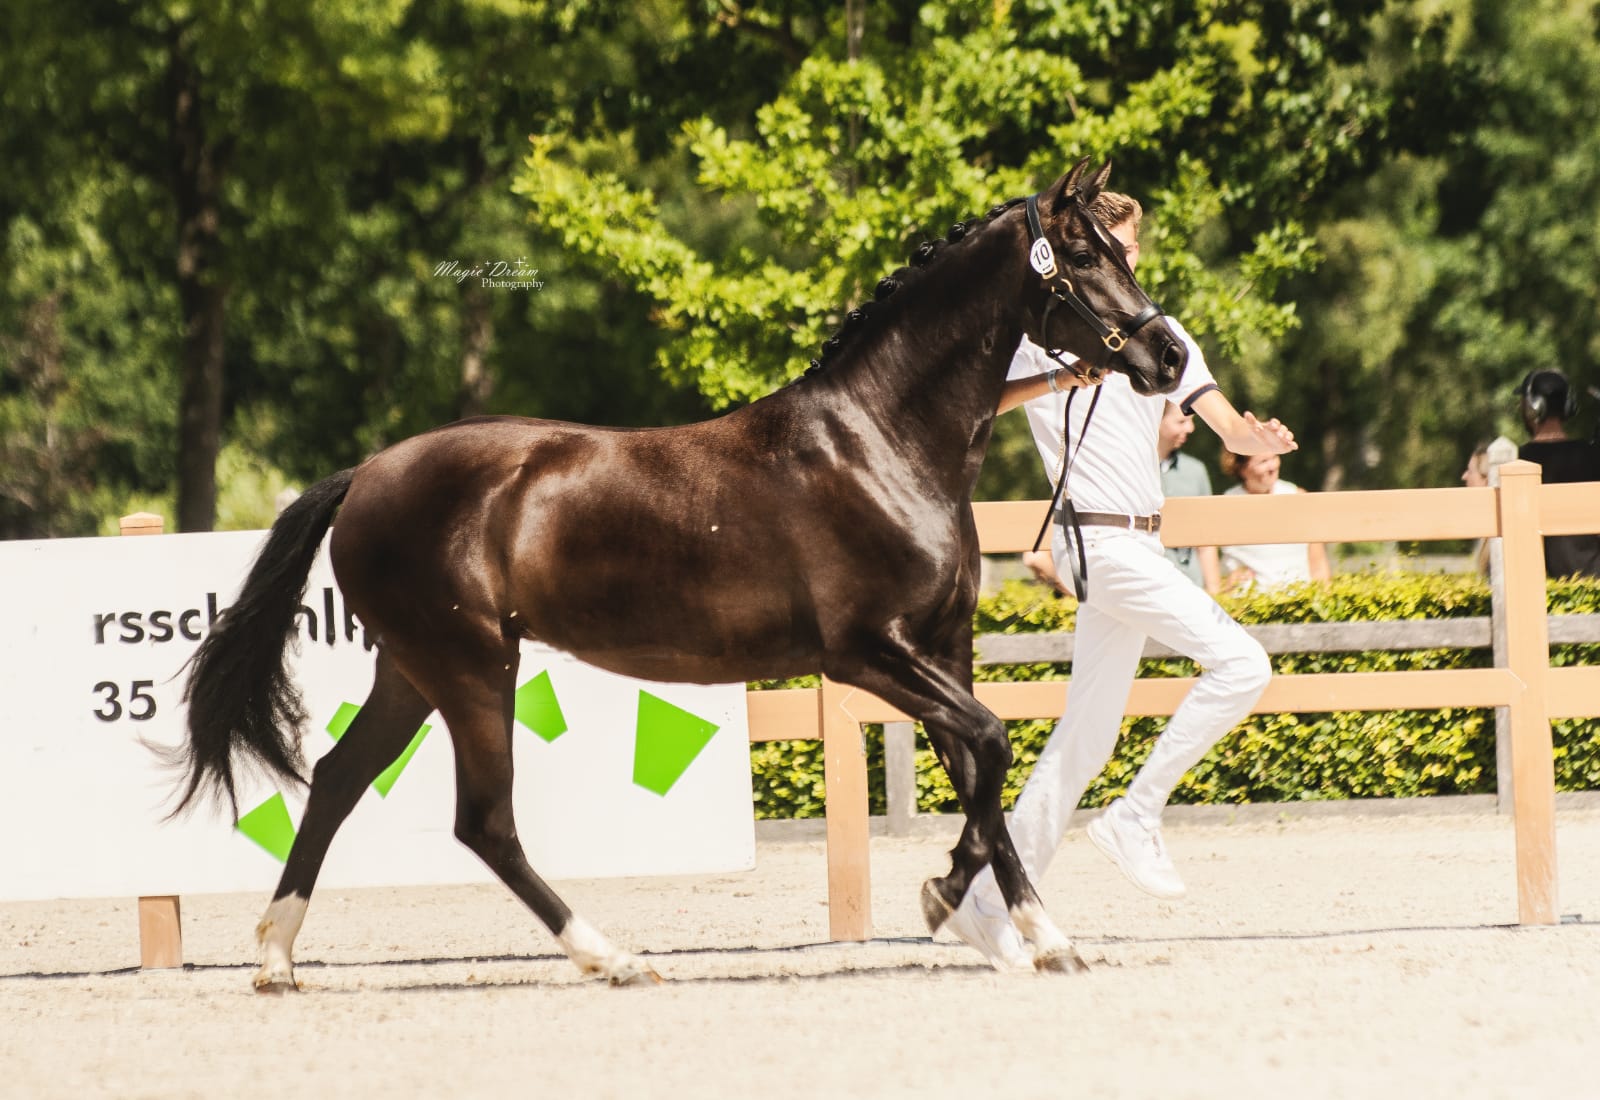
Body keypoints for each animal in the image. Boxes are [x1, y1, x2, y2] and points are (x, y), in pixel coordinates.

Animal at [169, 157, 1187, 991]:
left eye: (1116, 247)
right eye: (1081, 251)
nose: (1168, 354)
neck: (882, 441)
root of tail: (368, 473)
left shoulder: (944, 651)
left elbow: (985, 772)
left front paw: (1039, 937)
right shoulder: (865, 654)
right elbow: (993, 745)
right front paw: (944, 898)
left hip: (414, 672)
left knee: (338, 780)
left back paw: (276, 958)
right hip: (470, 668)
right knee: (483, 822)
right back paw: (610, 958)